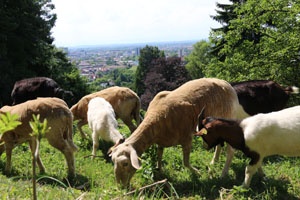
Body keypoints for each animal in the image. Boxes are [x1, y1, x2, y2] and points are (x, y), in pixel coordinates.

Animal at [109, 77, 245, 187]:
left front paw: (197, 173)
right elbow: (159, 154)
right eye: (113, 161)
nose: (121, 186)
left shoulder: (187, 138)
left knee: (230, 150)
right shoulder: (161, 141)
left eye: (125, 163)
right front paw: (159, 169)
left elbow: (185, 162)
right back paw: (213, 164)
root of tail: (227, 84)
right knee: (218, 145)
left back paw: (223, 174)